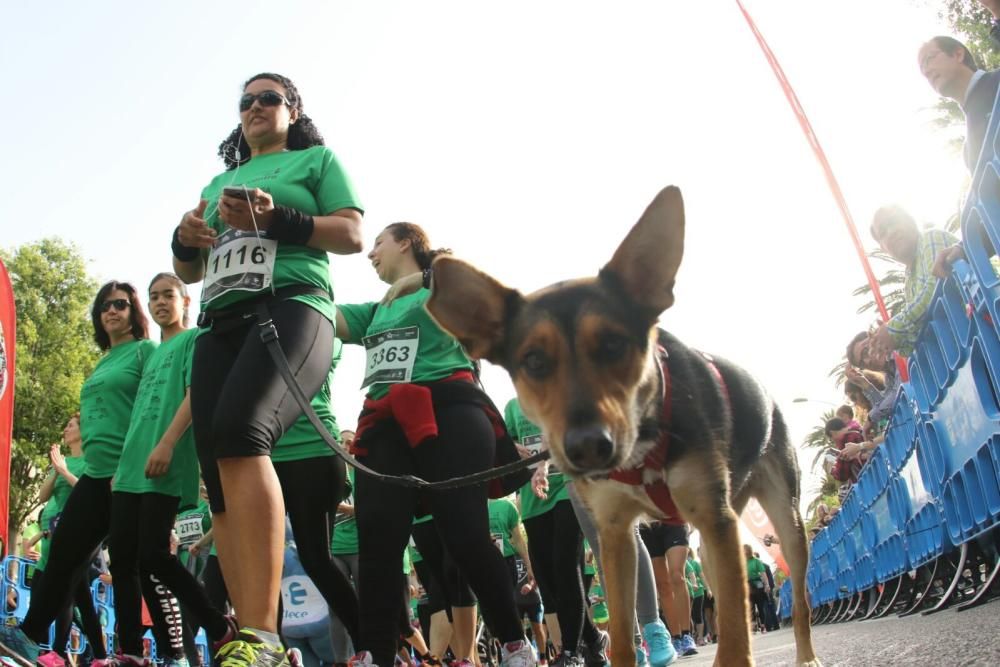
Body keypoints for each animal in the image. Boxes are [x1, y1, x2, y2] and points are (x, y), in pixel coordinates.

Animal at [422, 187, 820, 667]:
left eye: (613, 345)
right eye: (534, 361)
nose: (588, 447)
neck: (644, 445)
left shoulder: (712, 517)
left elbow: (735, 640)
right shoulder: (614, 536)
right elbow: (624, 635)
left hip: (780, 522)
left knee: (796, 599)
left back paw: (806, 655)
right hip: (712, 544)